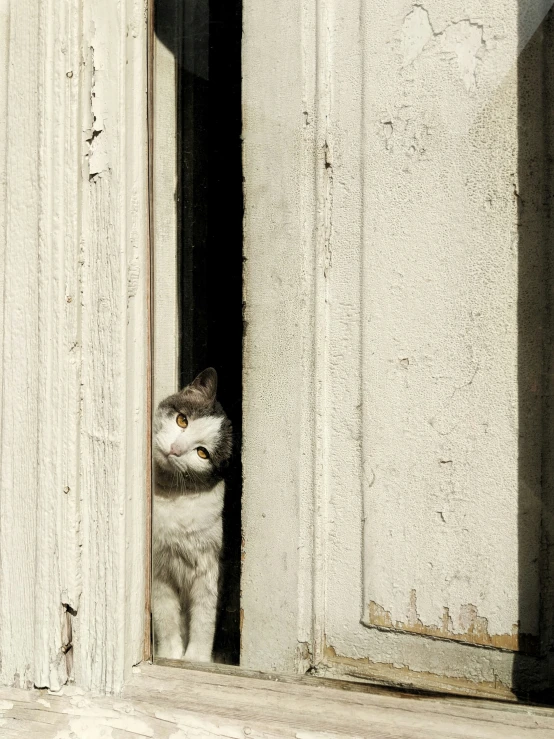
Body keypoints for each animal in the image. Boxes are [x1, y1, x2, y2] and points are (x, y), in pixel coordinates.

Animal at [151, 368, 231, 660]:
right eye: (182, 420)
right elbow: (165, 618)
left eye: (202, 453)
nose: (175, 449)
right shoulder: (159, 570)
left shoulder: (210, 571)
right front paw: (170, 656)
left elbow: (204, 620)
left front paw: (195, 660)